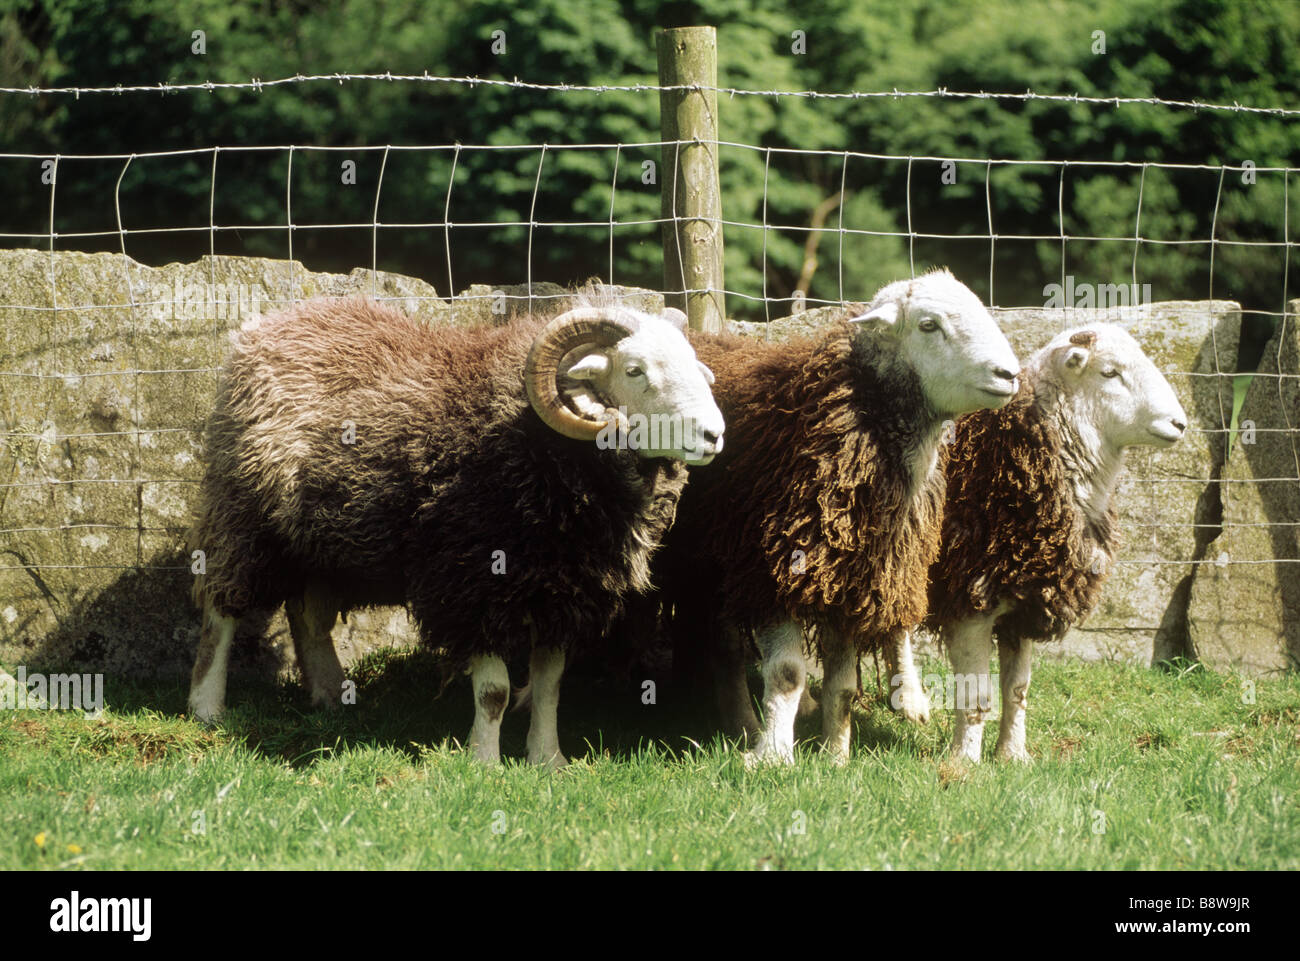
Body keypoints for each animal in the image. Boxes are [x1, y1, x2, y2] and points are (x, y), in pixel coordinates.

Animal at [187, 292, 728, 764]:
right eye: (635, 370)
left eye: (694, 363)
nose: (714, 435)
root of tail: (264, 326)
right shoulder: (472, 583)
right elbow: (494, 690)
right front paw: (483, 761)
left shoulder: (564, 590)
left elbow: (549, 688)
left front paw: (547, 759)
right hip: (243, 514)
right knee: (221, 608)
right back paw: (206, 706)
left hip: (323, 540)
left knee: (307, 615)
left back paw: (329, 697)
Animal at [665, 273, 1019, 764]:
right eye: (928, 324)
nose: (1010, 374)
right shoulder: (773, 573)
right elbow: (788, 673)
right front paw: (773, 757)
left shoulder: (852, 581)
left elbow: (845, 687)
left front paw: (835, 757)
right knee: (728, 650)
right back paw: (746, 726)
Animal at [920, 326, 1185, 764]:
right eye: (1109, 372)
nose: (1180, 423)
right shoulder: (971, 600)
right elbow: (975, 695)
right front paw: (964, 763)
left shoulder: (1028, 600)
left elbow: (1017, 690)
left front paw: (1013, 756)